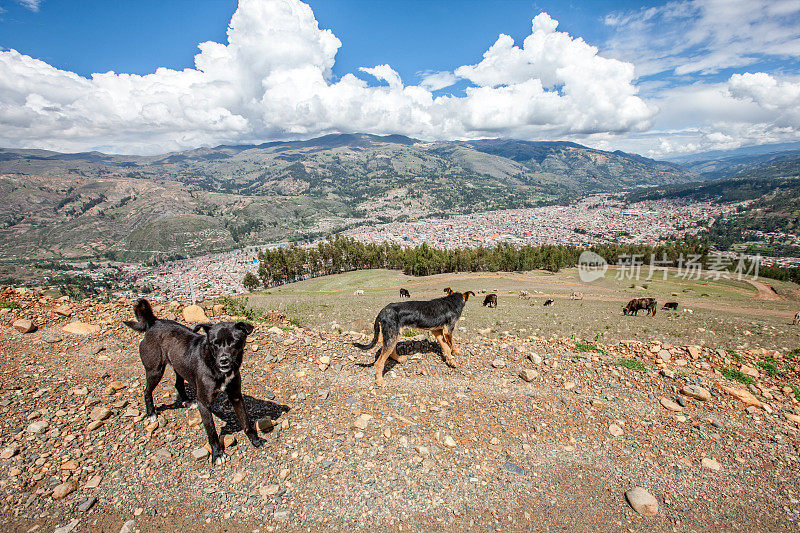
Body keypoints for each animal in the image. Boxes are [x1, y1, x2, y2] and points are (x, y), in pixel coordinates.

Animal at [123, 298, 264, 464]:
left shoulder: (236, 396)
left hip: (179, 365)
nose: (223, 360)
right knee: (146, 391)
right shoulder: (204, 403)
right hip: (155, 370)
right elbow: (212, 432)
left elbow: (246, 422)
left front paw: (255, 440)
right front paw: (217, 454)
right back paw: (151, 413)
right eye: (214, 343)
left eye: (234, 342)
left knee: (178, 383)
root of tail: (154, 322)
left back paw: (187, 401)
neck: (214, 366)